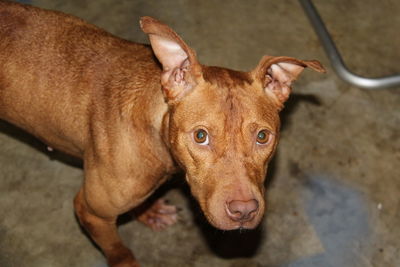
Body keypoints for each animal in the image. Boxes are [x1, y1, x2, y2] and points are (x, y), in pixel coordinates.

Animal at [0, 1, 324, 266]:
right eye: (201, 136)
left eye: (262, 137)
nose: (243, 211)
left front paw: (148, 212)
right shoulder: (92, 211)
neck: (151, 129)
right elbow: (119, 251)